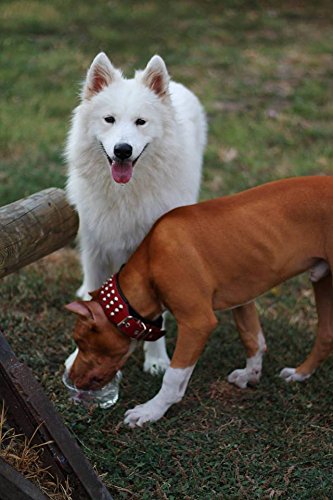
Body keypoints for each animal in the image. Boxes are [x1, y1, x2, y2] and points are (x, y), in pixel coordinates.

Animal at [65, 53, 206, 376]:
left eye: (141, 122)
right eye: (109, 119)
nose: (122, 150)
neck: (125, 194)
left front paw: (156, 360)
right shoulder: (95, 248)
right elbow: (92, 301)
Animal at [65, 176, 332, 426]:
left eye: (80, 340)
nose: (72, 377)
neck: (151, 258)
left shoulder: (197, 323)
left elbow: (173, 376)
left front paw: (152, 411)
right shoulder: (242, 300)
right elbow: (253, 339)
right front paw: (251, 374)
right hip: (323, 281)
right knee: (325, 336)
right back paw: (299, 375)